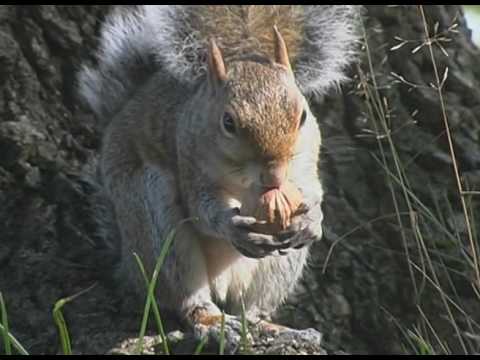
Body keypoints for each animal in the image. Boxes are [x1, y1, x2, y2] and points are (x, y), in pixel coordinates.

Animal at [78, 4, 360, 350]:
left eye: (303, 116)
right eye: (228, 122)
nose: (274, 176)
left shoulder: (305, 162)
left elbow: (313, 190)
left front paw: (312, 220)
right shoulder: (189, 157)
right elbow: (202, 211)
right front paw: (230, 225)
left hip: (278, 266)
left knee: (251, 308)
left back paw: (273, 327)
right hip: (155, 225)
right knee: (185, 296)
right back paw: (212, 323)